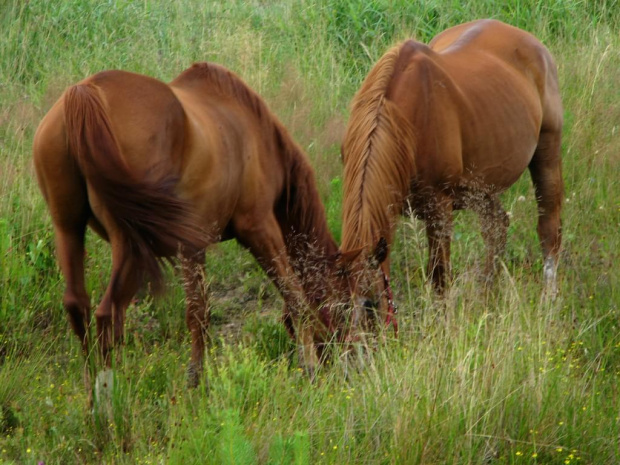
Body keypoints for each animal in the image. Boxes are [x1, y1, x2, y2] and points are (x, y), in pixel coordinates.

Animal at [34, 59, 354, 390]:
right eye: (348, 304)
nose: (351, 360)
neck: (254, 131)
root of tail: (85, 93)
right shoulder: (258, 228)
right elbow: (294, 295)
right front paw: (309, 365)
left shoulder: (191, 248)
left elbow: (199, 312)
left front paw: (197, 377)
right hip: (129, 245)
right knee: (107, 314)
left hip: (68, 229)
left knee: (78, 306)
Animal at [340, 19, 560, 326]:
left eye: (371, 305)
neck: (404, 121)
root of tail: (531, 42)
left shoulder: (439, 210)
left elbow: (439, 278)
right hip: (479, 189)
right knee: (497, 227)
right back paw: (486, 297)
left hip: (547, 153)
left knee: (549, 229)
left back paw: (548, 301)